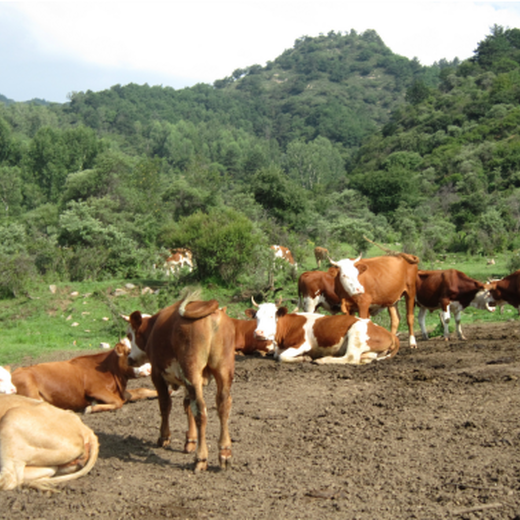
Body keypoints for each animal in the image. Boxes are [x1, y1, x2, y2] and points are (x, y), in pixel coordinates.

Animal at [10, 338, 156, 414]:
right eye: (130, 352)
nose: (150, 368)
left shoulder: (120, 392)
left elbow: (141, 390)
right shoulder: (95, 389)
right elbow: (118, 402)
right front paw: (91, 407)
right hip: (29, 388)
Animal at [122, 290, 234, 474]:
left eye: (129, 335)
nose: (129, 359)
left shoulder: (157, 375)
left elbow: (165, 405)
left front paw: (164, 437)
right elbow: (187, 405)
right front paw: (190, 440)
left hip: (192, 371)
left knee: (201, 411)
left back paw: (201, 458)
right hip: (223, 370)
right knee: (223, 406)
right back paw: (225, 452)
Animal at [246, 300, 400, 366]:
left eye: (272, 316)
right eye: (256, 317)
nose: (258, 332)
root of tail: (389, 333)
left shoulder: (303, 344)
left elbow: (281, 357)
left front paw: (305, 358)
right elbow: (277, 355)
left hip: (356, 330)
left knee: (351, 358)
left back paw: (322, 360)